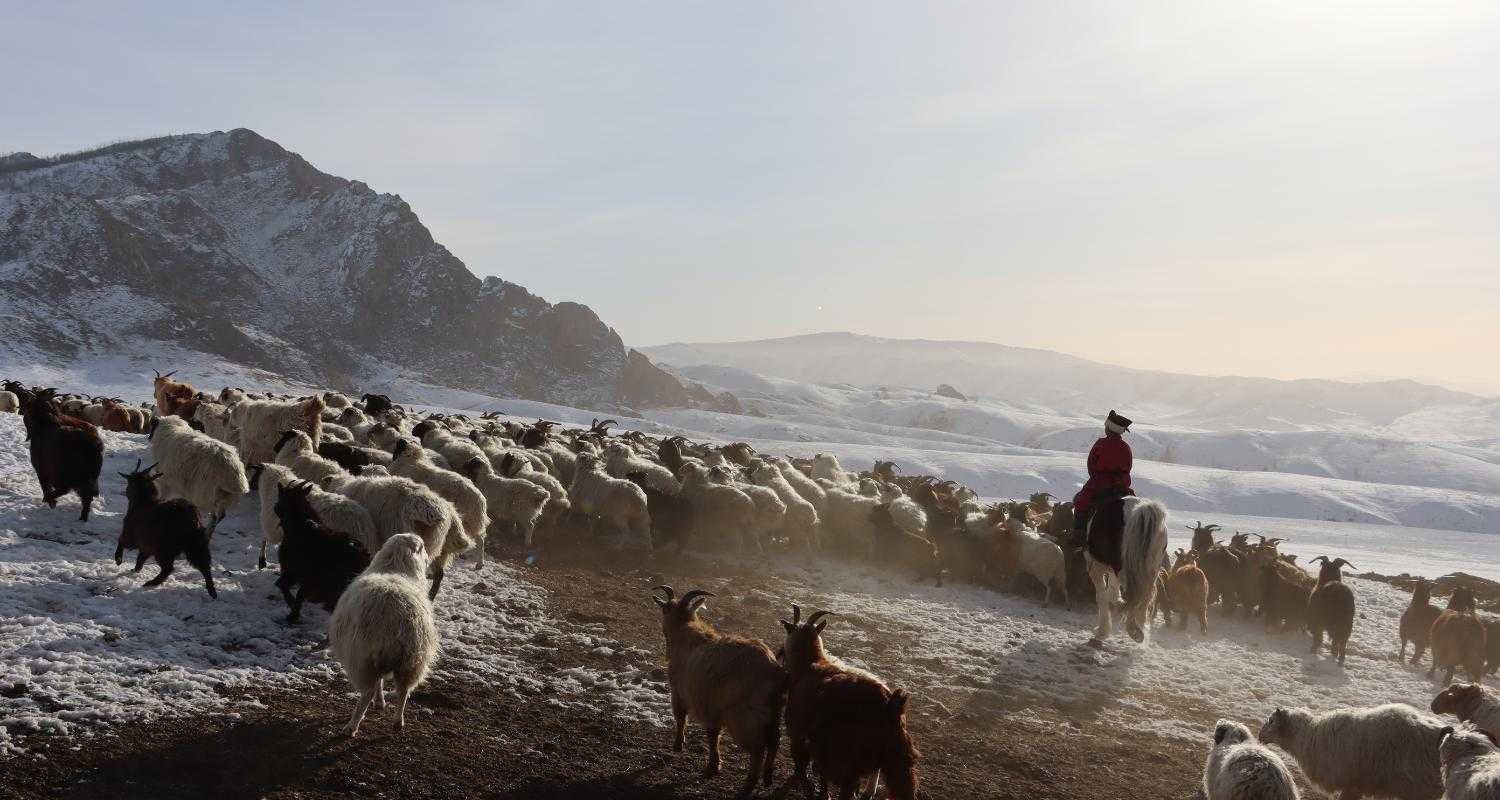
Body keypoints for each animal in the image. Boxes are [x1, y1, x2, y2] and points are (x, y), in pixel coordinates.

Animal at [328, 534, 438, 732]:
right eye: (424, 547)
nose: (429, 561)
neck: (394, 568)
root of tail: (397, 623)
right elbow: (383, 683)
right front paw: (381, 703)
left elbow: (377, 685)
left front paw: (378, 703)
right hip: (412, 662)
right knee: (403, 692)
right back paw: (398, 722)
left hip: (362, 660)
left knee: (367, 691)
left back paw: (352, 725)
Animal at [651, 582, 786, 792]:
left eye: (665, 609)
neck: (684, 631)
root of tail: (773, 669)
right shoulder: (711, 707)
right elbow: (713, 734)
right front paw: (713, 765)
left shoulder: (681, 692)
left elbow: (684, 719)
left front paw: (681, 747)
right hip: (774, 712)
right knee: (774, 741)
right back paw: (767, 778)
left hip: (745, 716)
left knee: (758, 747)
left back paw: (748, 784)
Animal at [780, 606, 918, 798]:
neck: (809, 664)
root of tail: (889, 705)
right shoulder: (821, 745)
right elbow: (822, 774)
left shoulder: (799, 732)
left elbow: (803, 765)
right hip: (899, 761)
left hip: (851, 762)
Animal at [1092, 492, 1170, 642]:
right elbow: (1112, 590)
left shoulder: (1096, 566)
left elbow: (1102, 595)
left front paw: (1102, 631)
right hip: (1150, 568)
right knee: (1145, 595)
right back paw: (1138, 626)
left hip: (1125, 569)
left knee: (1134, 595)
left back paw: (1133, 629)